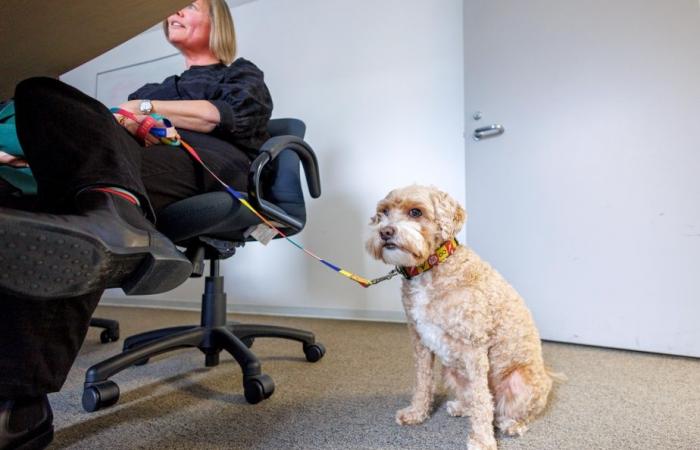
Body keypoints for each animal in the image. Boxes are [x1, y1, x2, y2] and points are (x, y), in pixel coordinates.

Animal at [366, 185, 556, 448]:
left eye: (416, 212)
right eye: (383, 212)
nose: (385, 232)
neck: (432, 267)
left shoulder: (473, 347)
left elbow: (481, 398)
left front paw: (483, 441)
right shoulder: (419, 341)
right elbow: (423, 382)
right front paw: (416, 413)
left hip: (521, 381)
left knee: (508, 410)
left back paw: (511, 424)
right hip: (451, 372)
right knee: (478, 403)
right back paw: (461, 407)